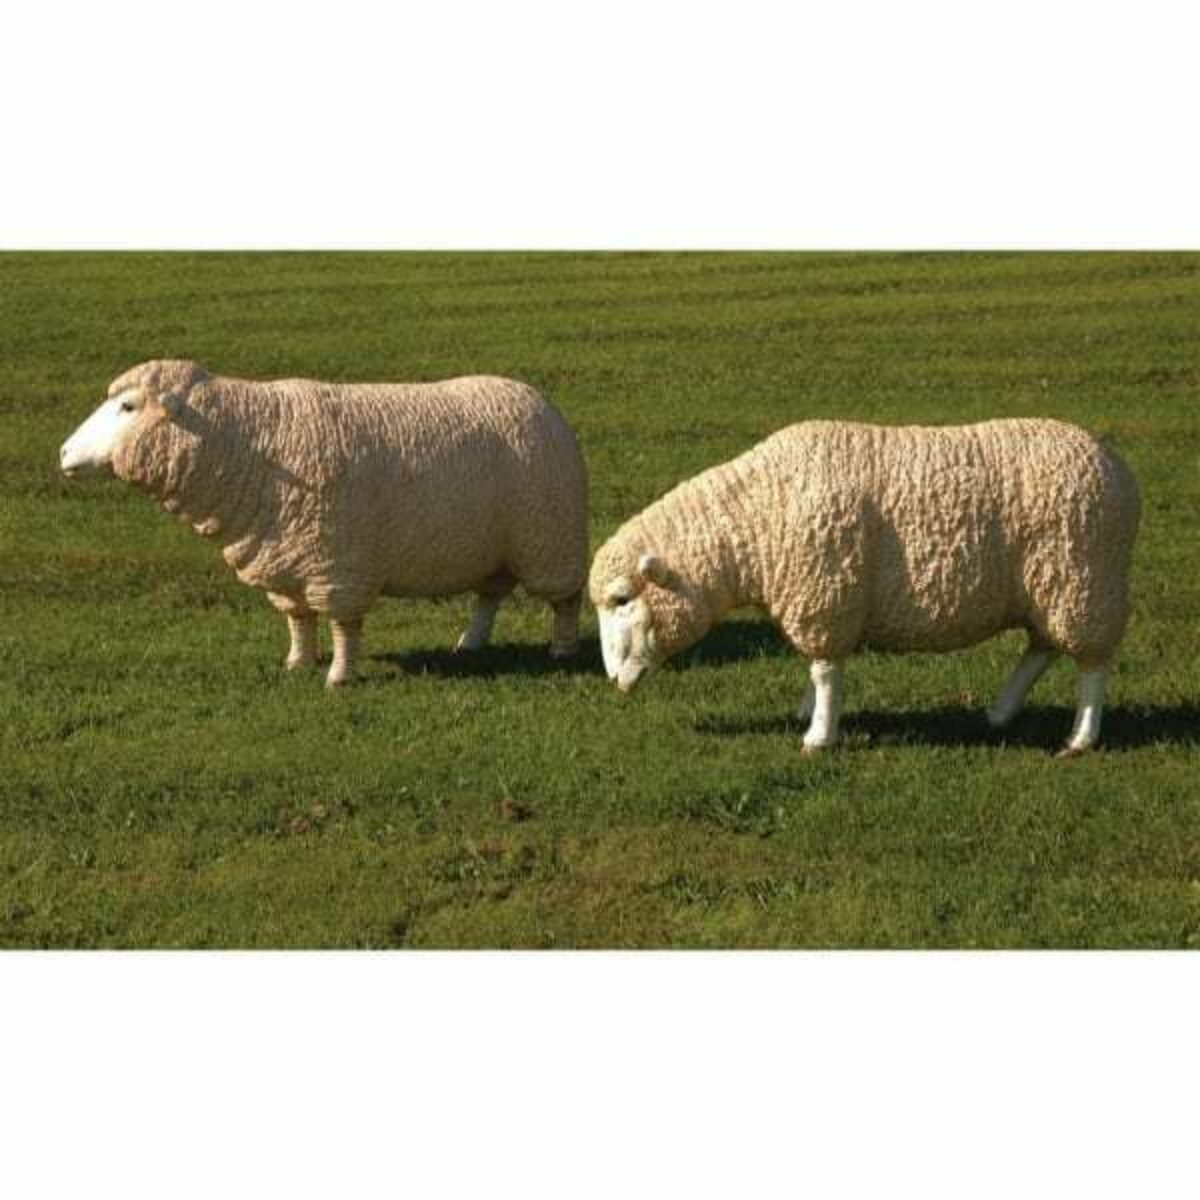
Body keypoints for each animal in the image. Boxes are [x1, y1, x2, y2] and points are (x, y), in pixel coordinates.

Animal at [60, 360, 588, 685]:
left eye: (127, 407)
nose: (63, 453)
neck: (247, 442)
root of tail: (537, 399)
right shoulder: (288, 556)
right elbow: (298, 619)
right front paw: (297, 662)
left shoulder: (336, 564)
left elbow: (342, 625)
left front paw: (339, 676)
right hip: (493, 546)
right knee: (489, 595)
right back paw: (471, 643)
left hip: (550, 536)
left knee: (564, 599)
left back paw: (561, 650)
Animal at [589, 418, 1140, 756]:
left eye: (622, 599)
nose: (612, 677)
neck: (756, 522)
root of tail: (1116, 467)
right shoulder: (824, 600)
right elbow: (818, 670)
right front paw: (810, 712)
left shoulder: (825, 594)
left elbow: (825, 671)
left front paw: (818, 735)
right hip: (1051, 591)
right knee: (1041, 648)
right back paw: (1000, 713)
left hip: (1085, 583)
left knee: (1092, 667)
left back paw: (1080, 738)